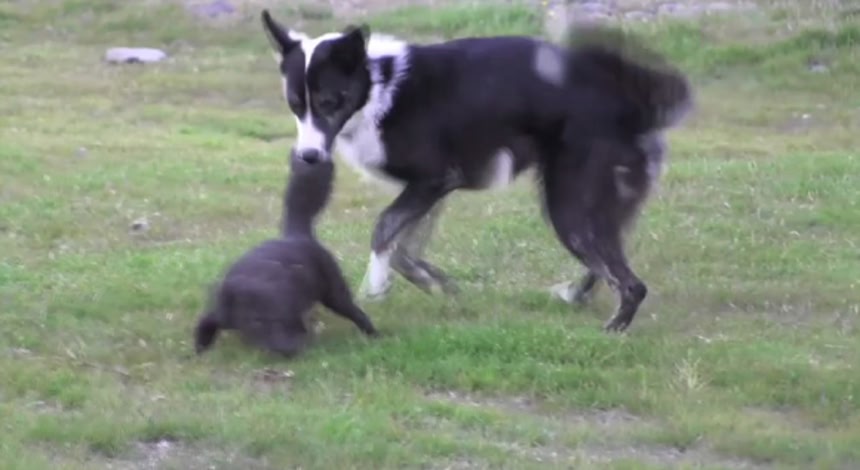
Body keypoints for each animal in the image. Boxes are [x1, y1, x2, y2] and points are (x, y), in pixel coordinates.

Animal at [194, 151, 379, 356]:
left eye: (283, 319)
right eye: (257, 322)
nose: (290, 348)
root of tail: (296, 235)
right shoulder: (222, 311)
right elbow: (205, 323)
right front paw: (200, 349)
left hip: (334, 289)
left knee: (352, 309)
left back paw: (372, 333)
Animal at [259, 10, 693, 332]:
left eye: (330, 102)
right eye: (295, 104)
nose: (309, 157)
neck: (378, 89)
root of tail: (630, 98)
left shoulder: (434, 180)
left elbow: (384, 230)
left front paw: (375, 285)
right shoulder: (430, 191)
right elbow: (404, 249)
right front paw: (438, 286)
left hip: (568, 206)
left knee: (631, 283)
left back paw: (611, 331)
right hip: (595, 207)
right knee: (607, 264)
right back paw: (576, 296)